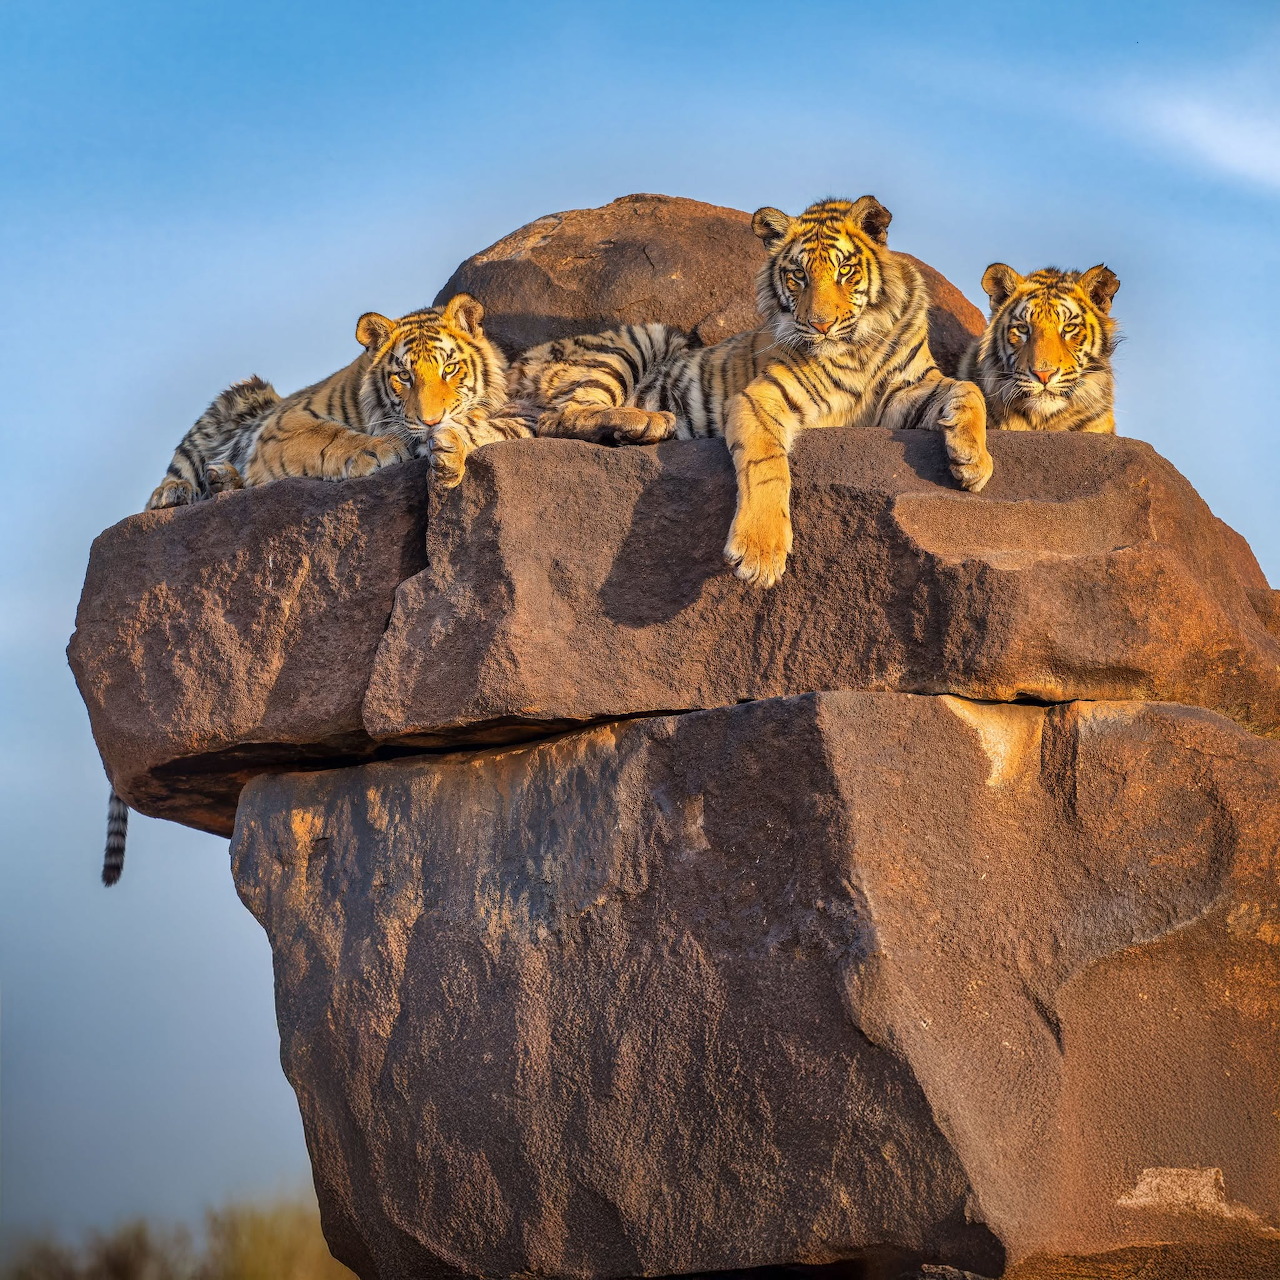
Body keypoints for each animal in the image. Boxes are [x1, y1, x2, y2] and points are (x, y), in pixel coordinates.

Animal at [104, 294, 529, 886]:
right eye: (402, 377)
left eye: (450, 369)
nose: (430, 420)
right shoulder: (284, 424)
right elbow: (330, 437)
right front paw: (380, 449)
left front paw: (447, 443)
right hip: (238, 398)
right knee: (167, 483)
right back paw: (186, 489)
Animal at [434, 196, 993, 588]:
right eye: (797, 275)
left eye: (844, 270)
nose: (819, 324)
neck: (858, 344)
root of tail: (519, 364)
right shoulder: (762, 398)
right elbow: (767, 467)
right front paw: (761, 554)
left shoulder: (906, 391)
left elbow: (968, 390)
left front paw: (972, 463)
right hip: (637, 341)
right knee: (563, 414)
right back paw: (646, 422)